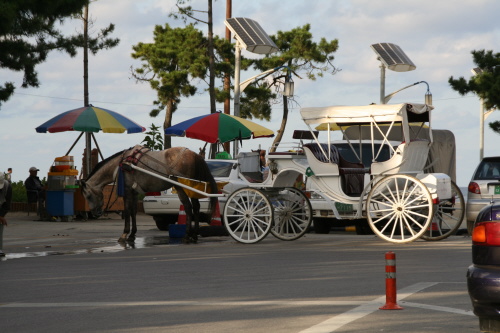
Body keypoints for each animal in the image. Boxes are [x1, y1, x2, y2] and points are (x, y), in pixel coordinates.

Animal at [79, 144, 217, 243]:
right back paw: (194, 235)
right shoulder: (134, 192)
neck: (122, 164)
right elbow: (133, 212)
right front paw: (132, 234)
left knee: (188, 207)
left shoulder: (127, 191)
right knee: (196, 207)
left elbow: (127, 211)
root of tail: (194, 154)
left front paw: (125, 233)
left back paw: (188, 235)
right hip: (191, 187)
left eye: (88, 196)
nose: (95, 213)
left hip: (181, 187)